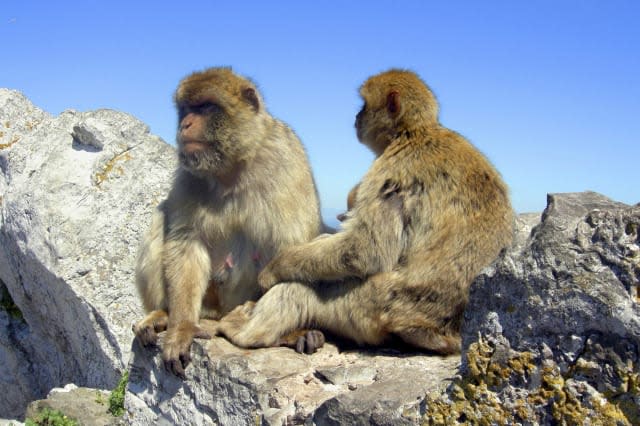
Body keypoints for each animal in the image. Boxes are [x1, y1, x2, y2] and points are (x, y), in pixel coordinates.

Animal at [136, 67, 324, 380]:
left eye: (206, 107)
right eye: (186, 109)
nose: (185, 124)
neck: (232, 167)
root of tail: (219, 312)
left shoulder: (286, 160)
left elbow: (288, 249)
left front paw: (295, 332)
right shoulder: (188, 175)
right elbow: (186, 243)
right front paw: (181, 328)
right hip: (208, 302)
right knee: (161, 215)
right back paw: (162, 314)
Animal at [219, 69, 516, 356]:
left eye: (364, 105)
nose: (357, 116)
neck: (414, 132)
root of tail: (440, 335)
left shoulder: (392, 167)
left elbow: (364, 251)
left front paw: (273, 269)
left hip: (366, 307)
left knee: (299, 290)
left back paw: (242, 331)